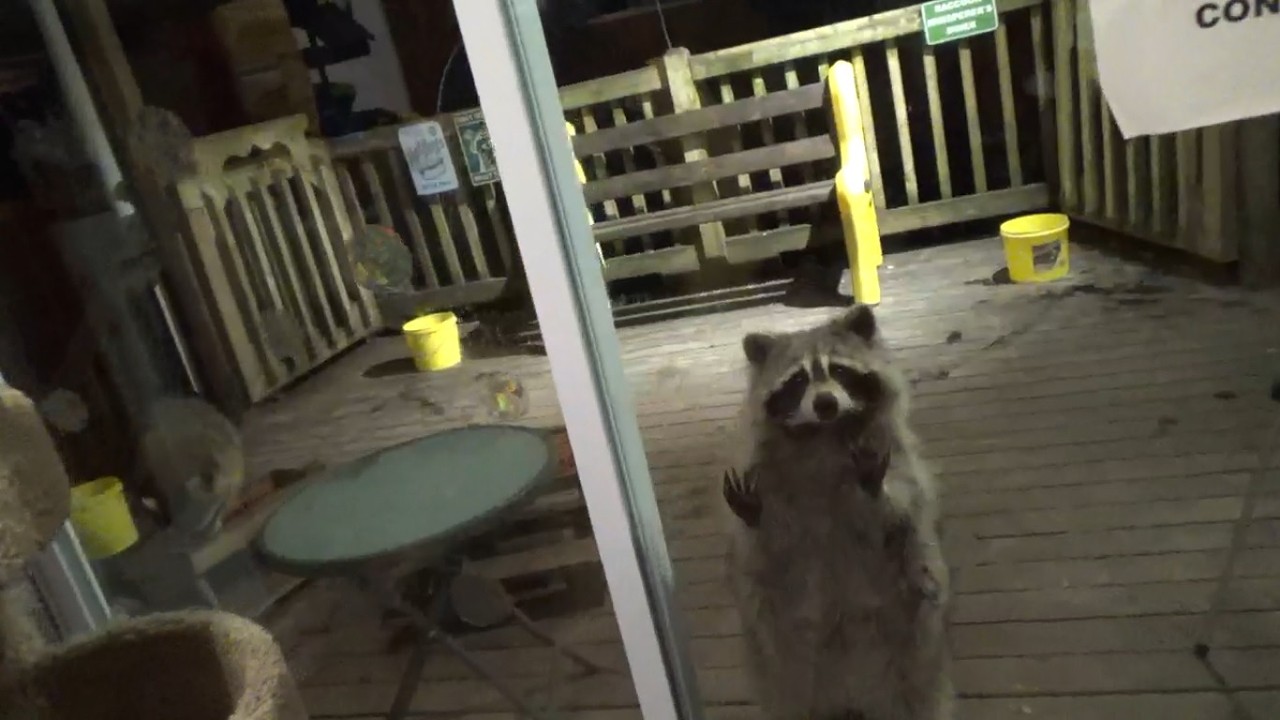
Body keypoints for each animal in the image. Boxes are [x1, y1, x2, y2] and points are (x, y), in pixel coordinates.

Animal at [722, 305, 952, 720]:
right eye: (798, 380)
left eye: (840, 370)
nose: (825, 403)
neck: (823, 435)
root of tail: (851, 691)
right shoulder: (769, 479)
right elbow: (769, 544)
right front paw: (755, 515)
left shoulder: (896, 457)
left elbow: (897, 519)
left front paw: (875, 491)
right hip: (781, 652)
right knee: (784, 679)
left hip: (909, 635)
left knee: (920, 663)